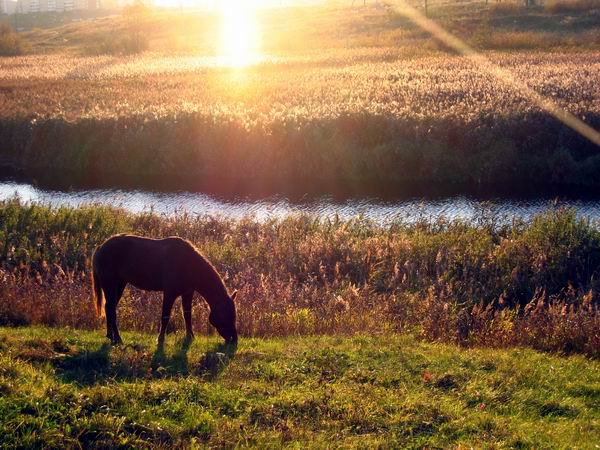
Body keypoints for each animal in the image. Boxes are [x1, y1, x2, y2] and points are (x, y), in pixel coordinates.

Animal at [91, 236, 237, 344]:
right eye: (226, 315)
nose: (234, 340)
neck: (188, 263)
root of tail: (100, 247)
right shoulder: (169, 293)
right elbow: (165, 316)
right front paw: (160, 339)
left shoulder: (187, 293)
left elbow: (187, 315)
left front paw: (190, 336)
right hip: (110, 284)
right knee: (111, 309)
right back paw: (118, 339)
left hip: (119, 284)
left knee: (109, 307)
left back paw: (111, 336)